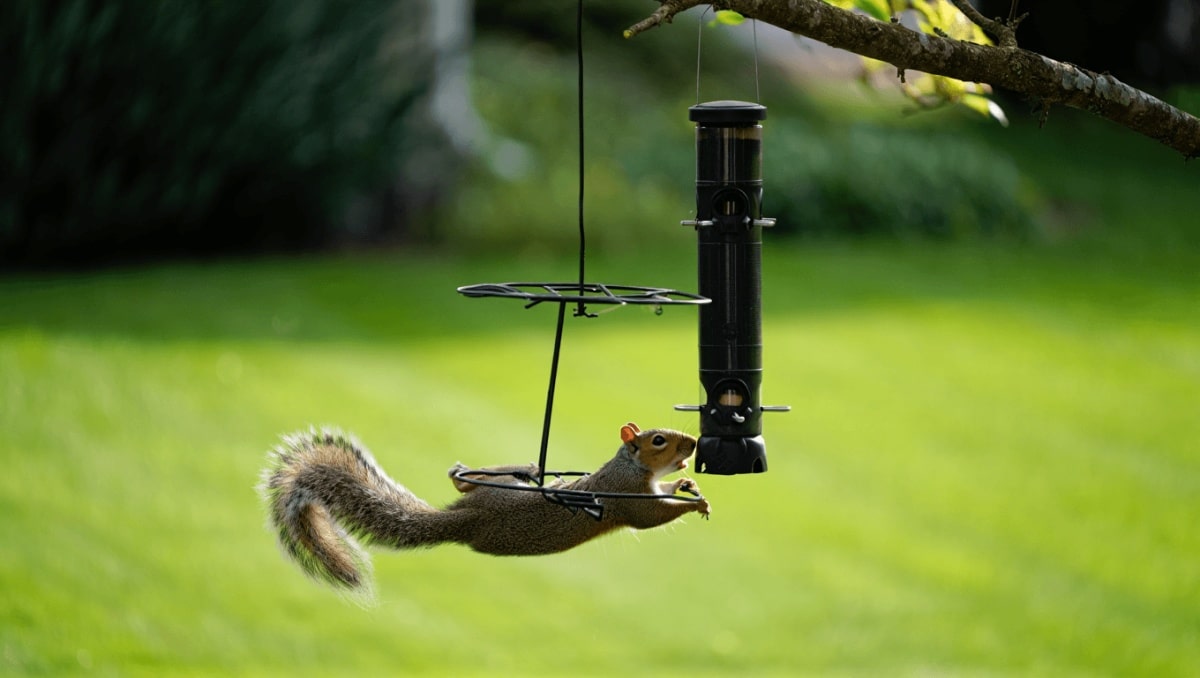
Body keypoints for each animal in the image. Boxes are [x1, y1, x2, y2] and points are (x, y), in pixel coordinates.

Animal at [259, 422, 710, 591]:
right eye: (658, 440)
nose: (692, 444)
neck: (631, 467)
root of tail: (467, 520)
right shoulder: (629, 495)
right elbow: (652, 517)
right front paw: (695, 503)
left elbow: (666, 490)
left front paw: (686, 483)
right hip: (506, 491)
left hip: (500, 483)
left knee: (461, 479)